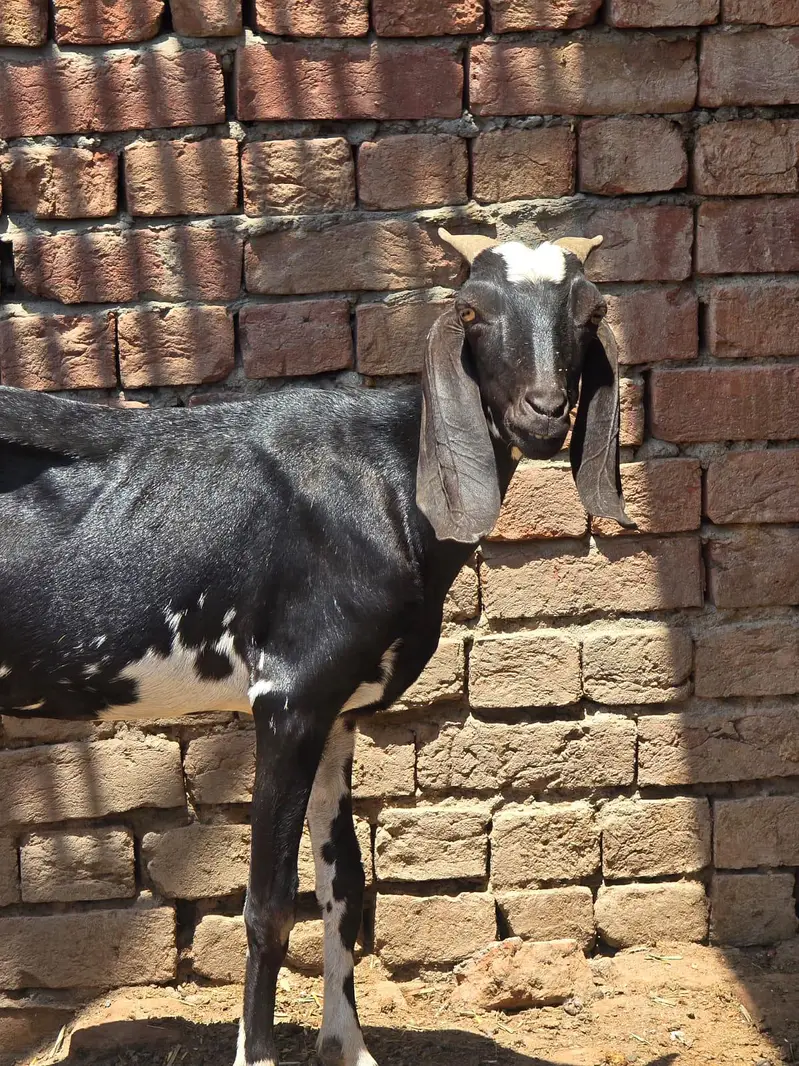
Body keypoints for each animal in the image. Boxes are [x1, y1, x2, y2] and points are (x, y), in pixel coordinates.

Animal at [0, 229, 630, 1066]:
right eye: (471, 309)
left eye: (590, 312)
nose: (544, 412)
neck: (384, 478)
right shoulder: (290, 695)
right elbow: (268, 906)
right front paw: (257, 1054)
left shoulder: (338, 709)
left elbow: (344, 886)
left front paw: (347, 1045)